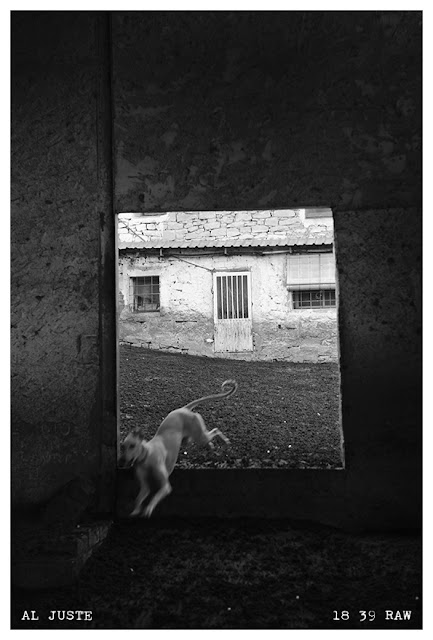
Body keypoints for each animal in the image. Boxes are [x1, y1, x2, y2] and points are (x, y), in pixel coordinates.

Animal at [119, 378, 236, 516]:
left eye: (132, 446)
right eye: (122, 447)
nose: (121, 461)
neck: (147, 456)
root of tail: (183, 409)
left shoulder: (165, 487)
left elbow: (154, 497)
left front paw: (148, 509)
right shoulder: (145, 487)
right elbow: (139, 499)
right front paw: (136, 511)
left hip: (199, 436)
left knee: (215, 430)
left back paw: (225, 441)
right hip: (189, 440)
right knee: (205, 439)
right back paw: (211, 446)